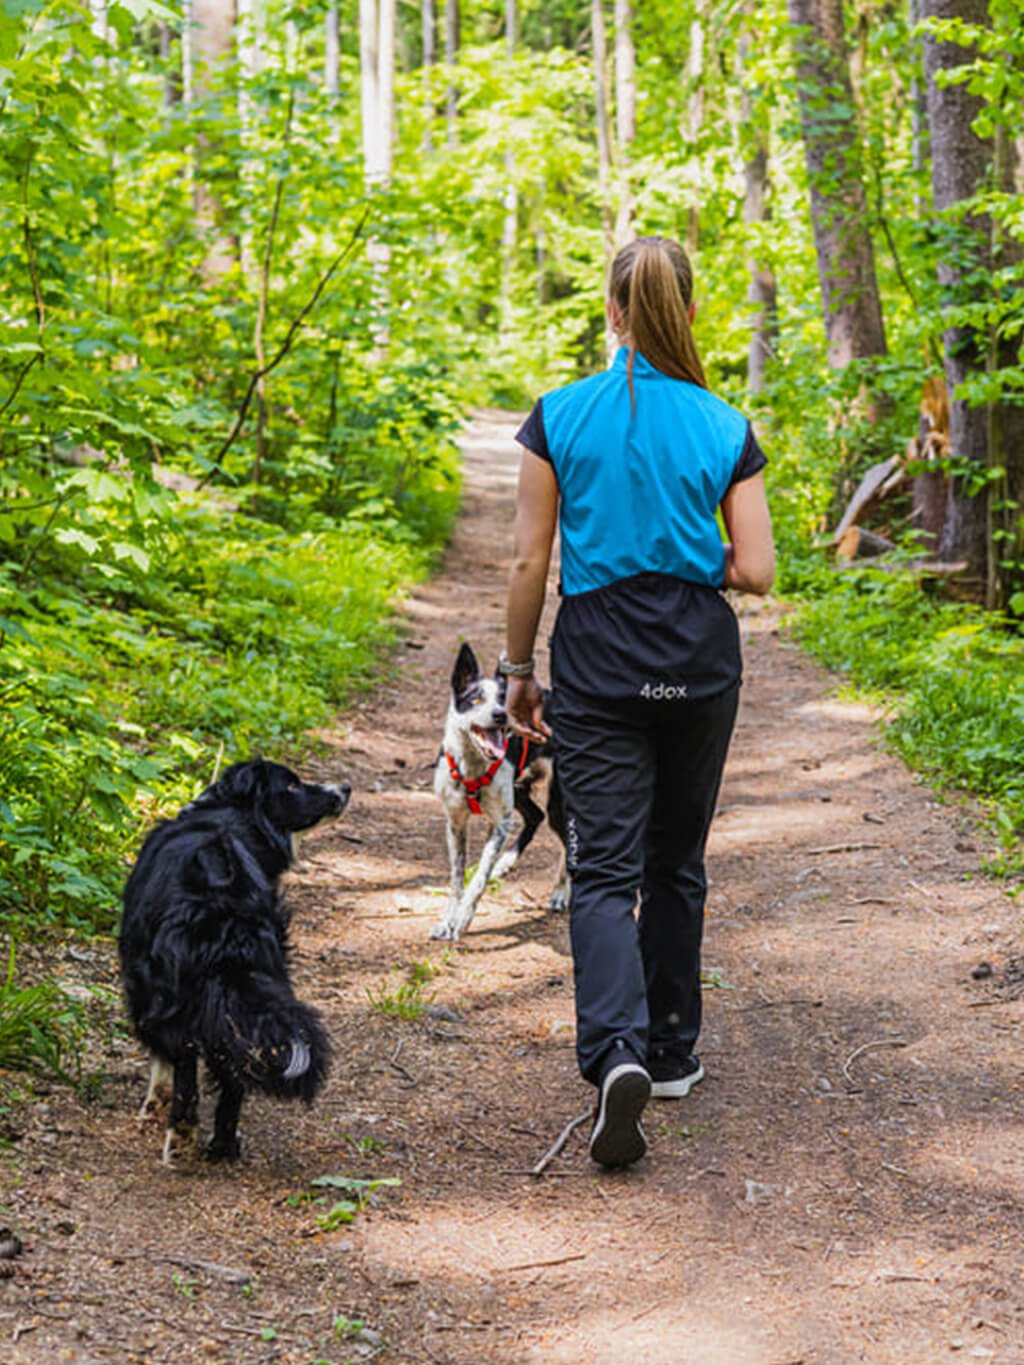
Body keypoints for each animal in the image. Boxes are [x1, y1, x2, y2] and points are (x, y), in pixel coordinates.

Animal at [118, 758, 352, 1162]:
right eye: (292, 786)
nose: (345, 789)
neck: (229, 813)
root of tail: (222, 907)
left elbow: (162, 1059)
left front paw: (154, 1103)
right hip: (253, 985)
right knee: (234, 1072)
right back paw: (223, 1143)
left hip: (172, 994)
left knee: (187, 1065)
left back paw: (180, 1139)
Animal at [428, 644, 565, 944]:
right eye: (476, 699)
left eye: (504, 699)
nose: (501, 714)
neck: (472, 766)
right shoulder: (455, 823)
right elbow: (456, 878)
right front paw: (447, 921)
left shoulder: (499, 824)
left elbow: (479, 877)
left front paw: (462, 920)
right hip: (519, 790)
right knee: (535, 816)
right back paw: (507, 862)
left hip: (558, 802)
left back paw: (561, 892)